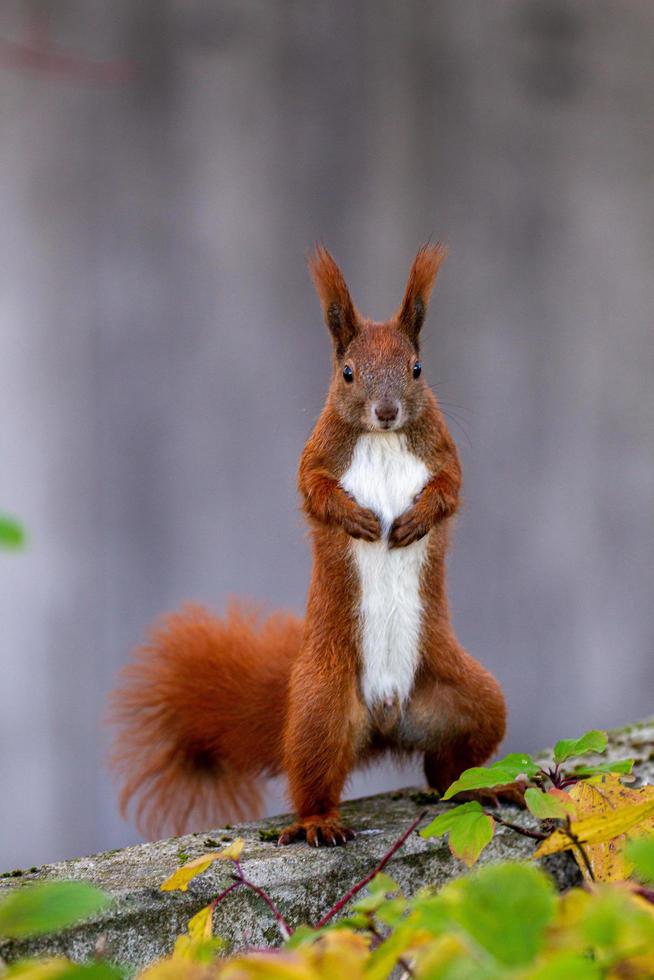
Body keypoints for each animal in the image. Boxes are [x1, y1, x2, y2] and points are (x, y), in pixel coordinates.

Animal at [111, 243, 508, 844]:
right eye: (347, 373)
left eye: (417, 369)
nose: (386, 411)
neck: (383, 440)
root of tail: (386, 721)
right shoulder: (317, 455)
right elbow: (314, 492)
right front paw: (359, 520)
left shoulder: (443, 452)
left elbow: (450, 491)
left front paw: (414, 522)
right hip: (322, 708)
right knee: (313, 775)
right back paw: (321, 822)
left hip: (472, 701)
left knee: (449, 769)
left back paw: (480, 789)